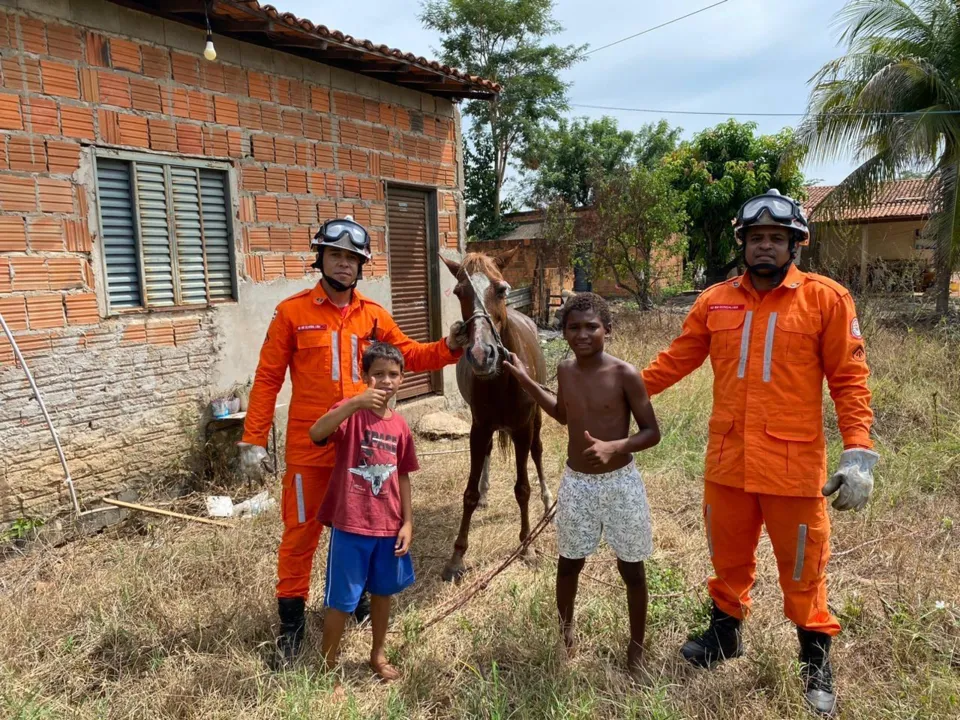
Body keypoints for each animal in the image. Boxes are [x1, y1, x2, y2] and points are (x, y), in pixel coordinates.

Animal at [438, 245, 552, 584]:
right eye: (459, 292)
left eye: (501, 289)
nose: (481, 354)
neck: (502, 377)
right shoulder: (479, 427)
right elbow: (469, 494)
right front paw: (456, 557)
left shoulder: (523, 428)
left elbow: (523, 489)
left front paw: (526, 546)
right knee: (489, 452)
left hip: (536, 420)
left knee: (538, 453)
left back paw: (547, 500)